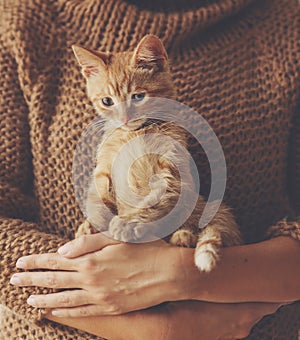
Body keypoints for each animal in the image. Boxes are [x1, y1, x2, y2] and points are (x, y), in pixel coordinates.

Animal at [73, 35, 244, 270]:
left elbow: (155, 199)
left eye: (138, 97)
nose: (124, 119)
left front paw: (128, 222)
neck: (135, 133)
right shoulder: (104, 168)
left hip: (211, 208)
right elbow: (97, 195)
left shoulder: (173, 173)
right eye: (107, 101)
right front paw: (90, 225)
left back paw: (184, 237)